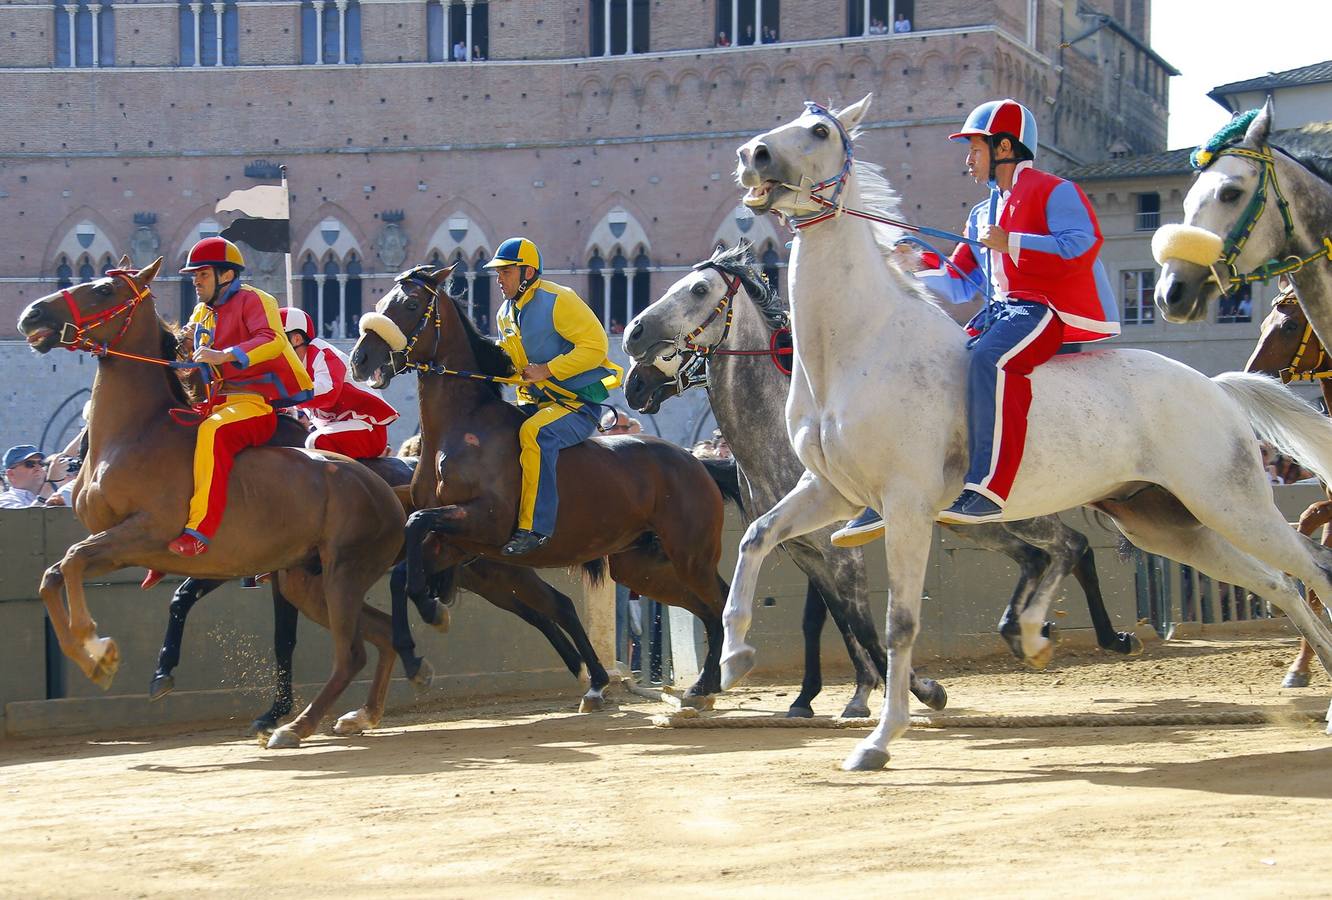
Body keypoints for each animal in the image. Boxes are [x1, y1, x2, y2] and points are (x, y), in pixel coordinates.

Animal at [16, 258, 399, 745]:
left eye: (103, 290)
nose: (32, 314)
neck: (138, 433)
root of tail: (383, 491)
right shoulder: (121, 545)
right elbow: (56, 573)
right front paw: (93, 658)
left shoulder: (146, 532)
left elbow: (71, 561)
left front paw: (96, 646)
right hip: (305, 581)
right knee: (384, 633)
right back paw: (360, 715)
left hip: (342, 574)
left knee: (351, 654)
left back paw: (296, 725)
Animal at [348, 263, 729, 708]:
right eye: (379, 302)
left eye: (410, 304)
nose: (360, 359)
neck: (461, 430)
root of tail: (697, 462)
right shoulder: (460, 543)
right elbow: (401, 571)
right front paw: (416, 650)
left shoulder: (485, 522)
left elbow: (415, 523)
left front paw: (431, 607)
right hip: (642, 566)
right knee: (704, 608)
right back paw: (682, 684)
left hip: (690, 555)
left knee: (720, 603)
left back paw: (704, 682)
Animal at [620, 247, 1134, 708]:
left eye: (699, 289)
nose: (633, 353)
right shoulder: (806, 553)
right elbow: (837, 622)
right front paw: (841, 694)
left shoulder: (840, 554)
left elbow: (859, 626)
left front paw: (915, 690)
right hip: (979, 526)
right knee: (1037, 557)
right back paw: (1030, 629)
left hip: (1013, 515)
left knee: (1074, 547)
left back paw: (1110, 637)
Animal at [724, 93, 1332, 772]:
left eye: (820, 131)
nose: (753, 154)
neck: (857, 345)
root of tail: (1215, 388)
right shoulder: (834, 493)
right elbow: (754, 537)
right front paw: (734, 657)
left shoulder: (906, 506)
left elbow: (900, 622)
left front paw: (880, 740)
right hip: (1170, 524)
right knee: (1278, 583)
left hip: (1231, 505)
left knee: (1311, 567)